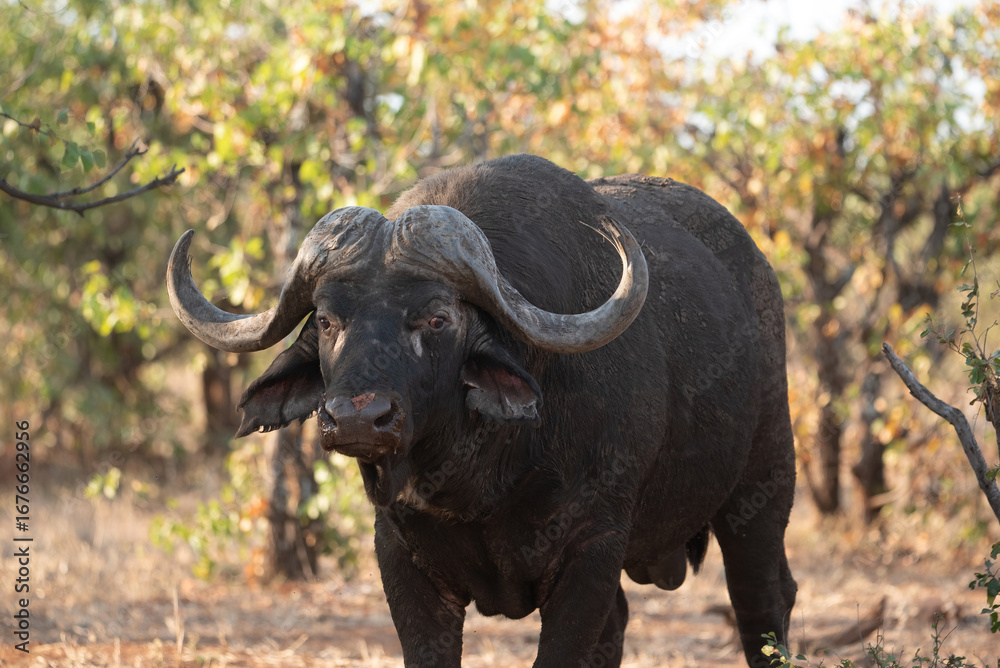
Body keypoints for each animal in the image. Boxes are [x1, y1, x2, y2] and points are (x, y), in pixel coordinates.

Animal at [167, 154, 797, 667]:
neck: (481, 475)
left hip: (763, 487)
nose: (357, 419)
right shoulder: (400, 557)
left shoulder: (592, 550)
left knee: (765, 602)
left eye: (437, 317)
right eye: (325, 319)